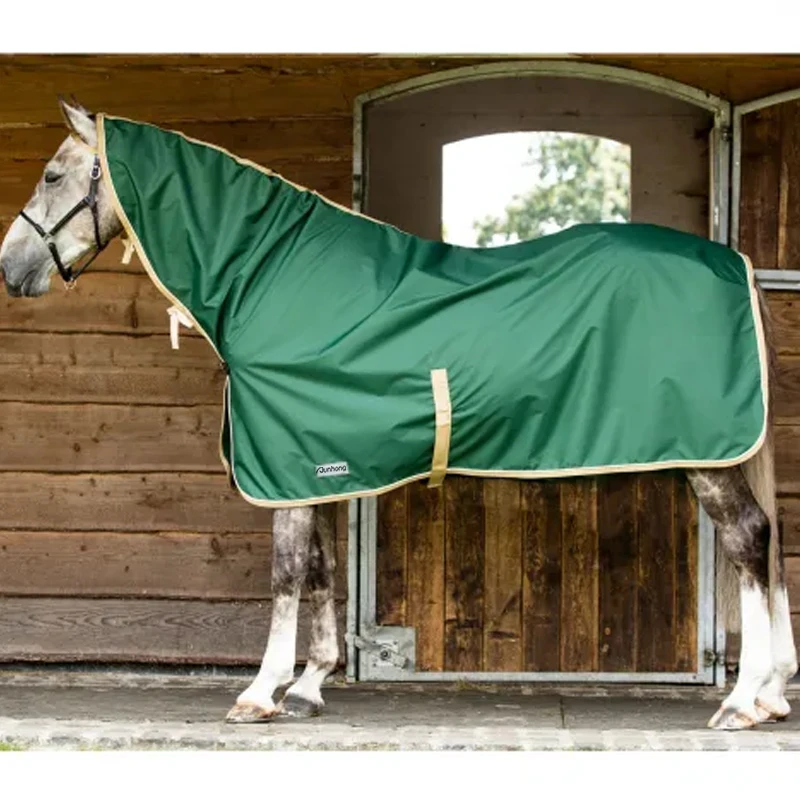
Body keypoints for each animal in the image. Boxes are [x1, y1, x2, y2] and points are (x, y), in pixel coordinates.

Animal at [0, 98, 796, 731]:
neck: (272, 277)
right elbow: (322, 570)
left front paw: (259, 693)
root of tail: (735, 265)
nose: (11, 269)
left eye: (52, 176)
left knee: (749, 542)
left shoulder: (285, 460)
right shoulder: (311, 461)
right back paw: (772, 692)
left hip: (708, 456)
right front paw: (310, 685)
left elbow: (286, 573)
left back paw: (742, 700)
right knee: (767, 543)